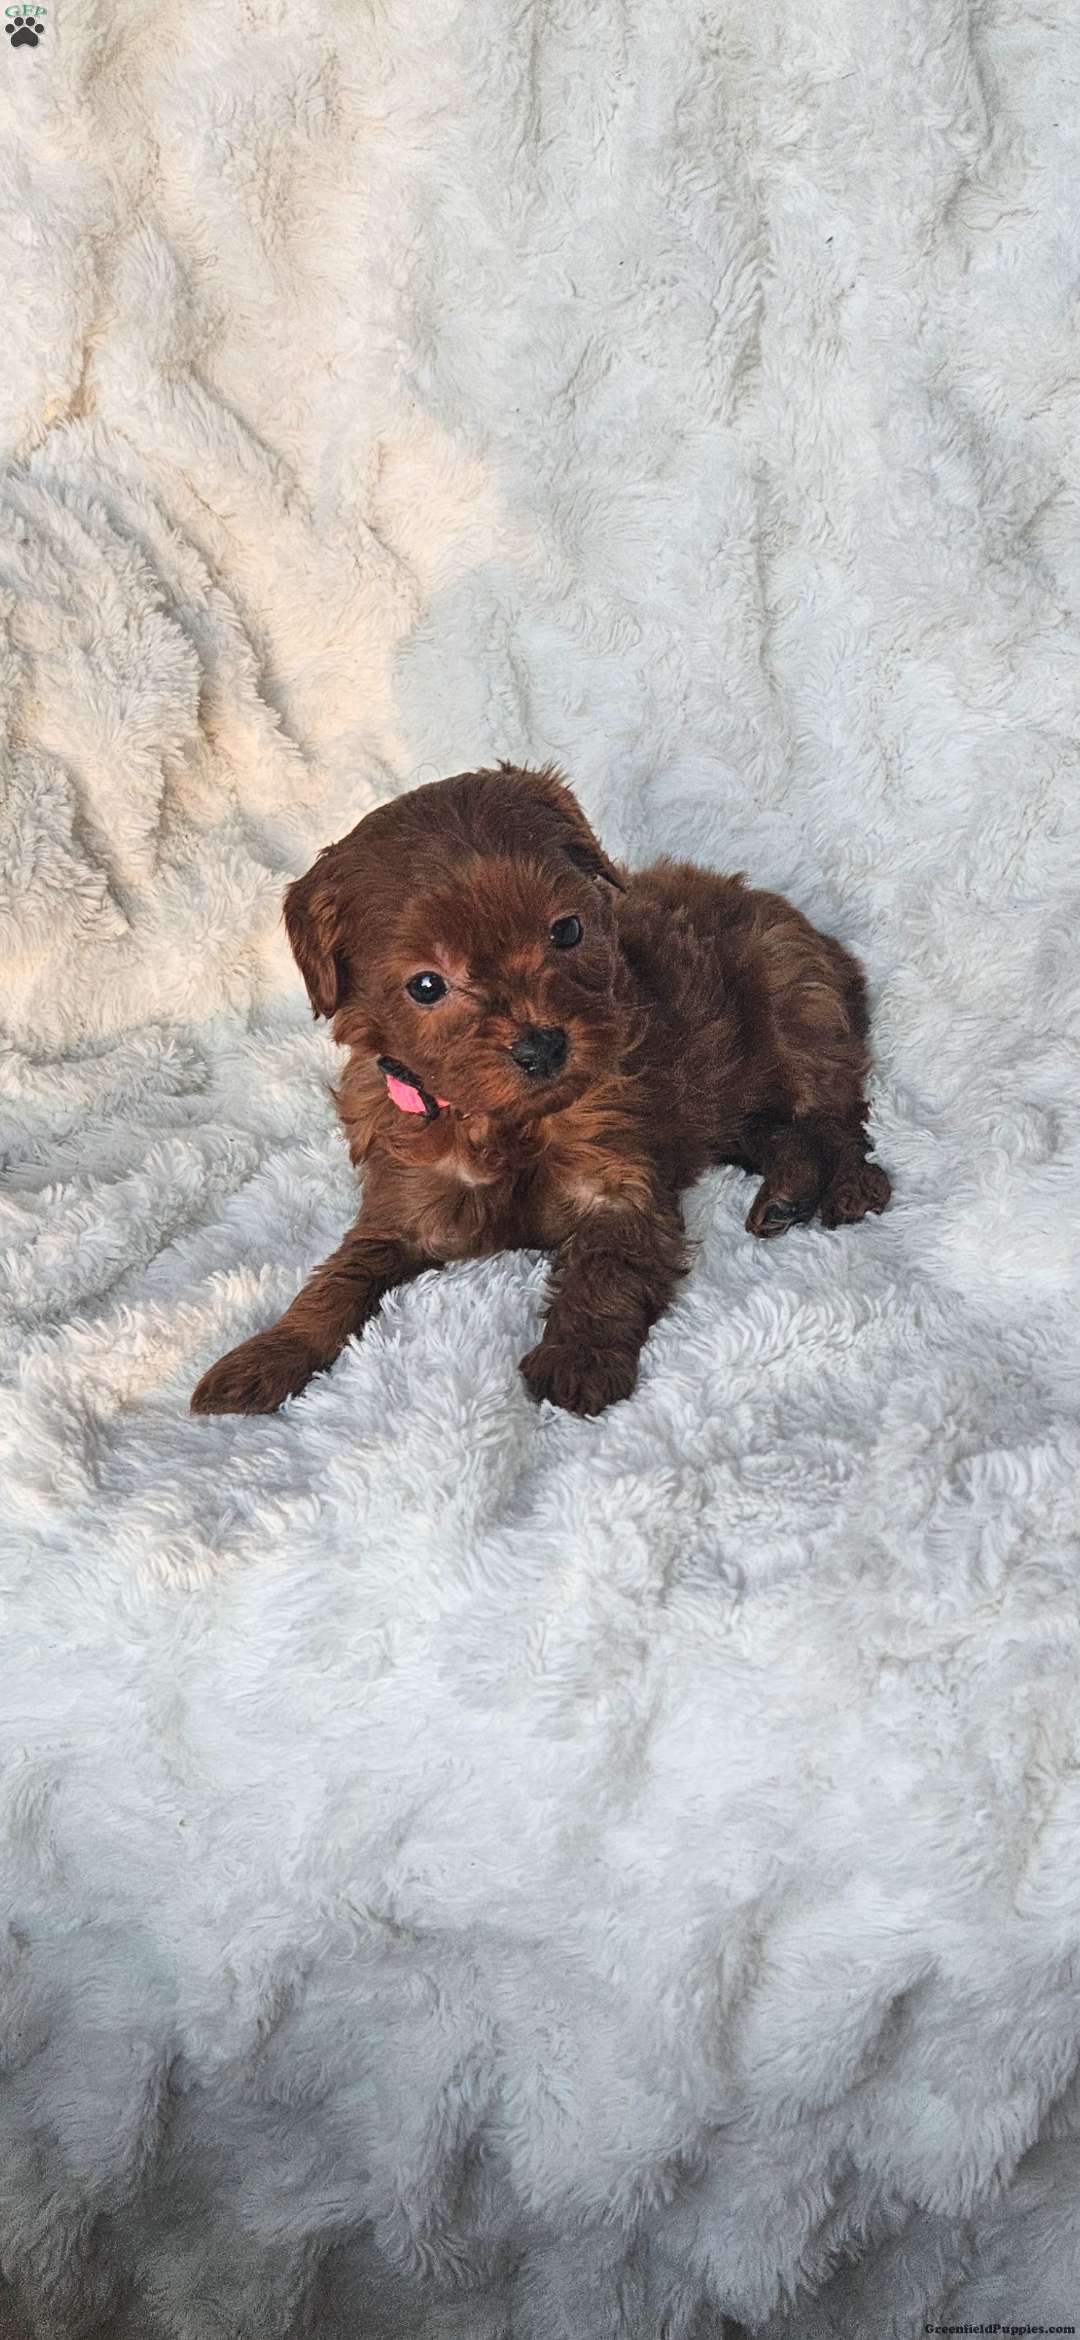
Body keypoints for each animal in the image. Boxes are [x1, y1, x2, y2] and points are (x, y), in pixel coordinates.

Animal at [191, 763, 890, 1420]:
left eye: (567, 931)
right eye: (426, 985)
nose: (542, 1047)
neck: (503, 1123)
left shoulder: (618, 1186)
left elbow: (604, 1271)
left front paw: (578, 1358)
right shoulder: (403, 1206)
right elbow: (337, 1278)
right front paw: (266, 1356)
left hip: (795, 999)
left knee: (833, 1117)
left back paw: (849, 1187)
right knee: (780, 1131)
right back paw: (787, 1193)